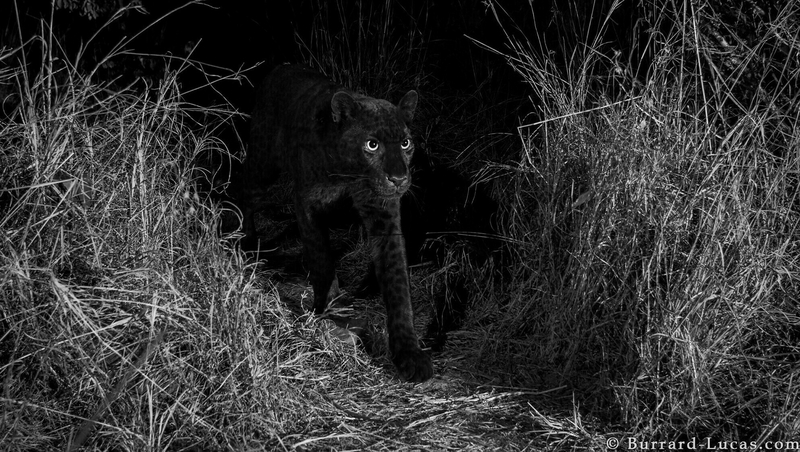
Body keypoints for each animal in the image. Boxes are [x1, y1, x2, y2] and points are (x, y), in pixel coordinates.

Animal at [231, 63, 434, 382]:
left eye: (405, 143)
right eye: (372, 145)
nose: (399, 179)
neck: (349, 174)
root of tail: (279, 67)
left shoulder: (383, 214)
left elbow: (397, 283)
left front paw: (409, 354)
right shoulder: (308, 204)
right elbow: (321, 257)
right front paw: (330, 309)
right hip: (264, 165)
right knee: (244, 188)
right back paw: (247, 242)